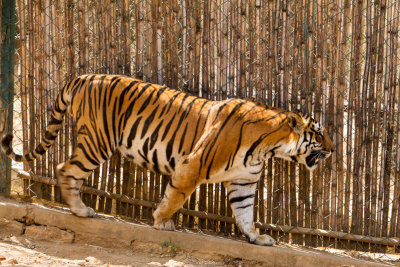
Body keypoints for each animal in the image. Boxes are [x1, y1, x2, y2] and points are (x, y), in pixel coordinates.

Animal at [1, 74, 332, 246]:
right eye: (319, 133)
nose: (334, 148)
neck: (270, 146)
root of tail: (82, 76)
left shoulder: (244, 182)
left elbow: (246, 213)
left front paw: (257, 238)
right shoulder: (193, 165)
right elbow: (175, 196)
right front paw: (162, 221)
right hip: (98, 141)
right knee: (64, 168)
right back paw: (81, 211)